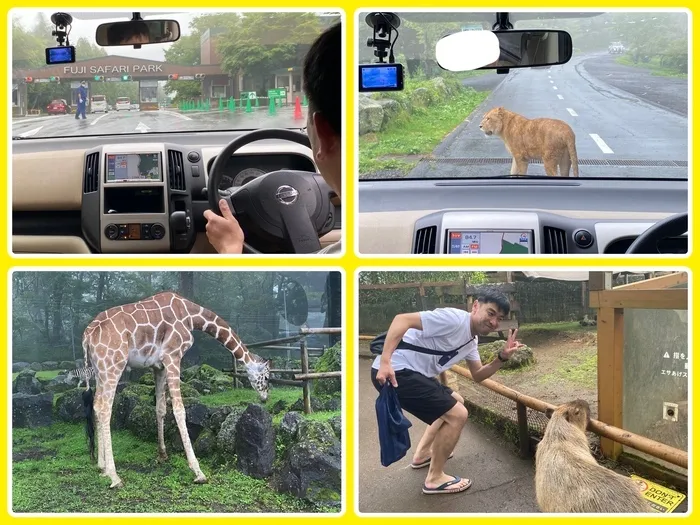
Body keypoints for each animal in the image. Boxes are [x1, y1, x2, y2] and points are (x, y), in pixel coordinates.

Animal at [78, 290, 270, 488]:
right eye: (266, 377)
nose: (265, 397)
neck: (191, 315)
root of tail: (87, 335)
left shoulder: (159, 366)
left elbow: (161, 408)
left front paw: (163, 454)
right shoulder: (173, 356)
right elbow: (179, 410)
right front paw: (198, 471)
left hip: (99, 370)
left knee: (96, 405)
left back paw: (101, 466)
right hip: (113, 366)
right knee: (104, 409)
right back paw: (114, 476)